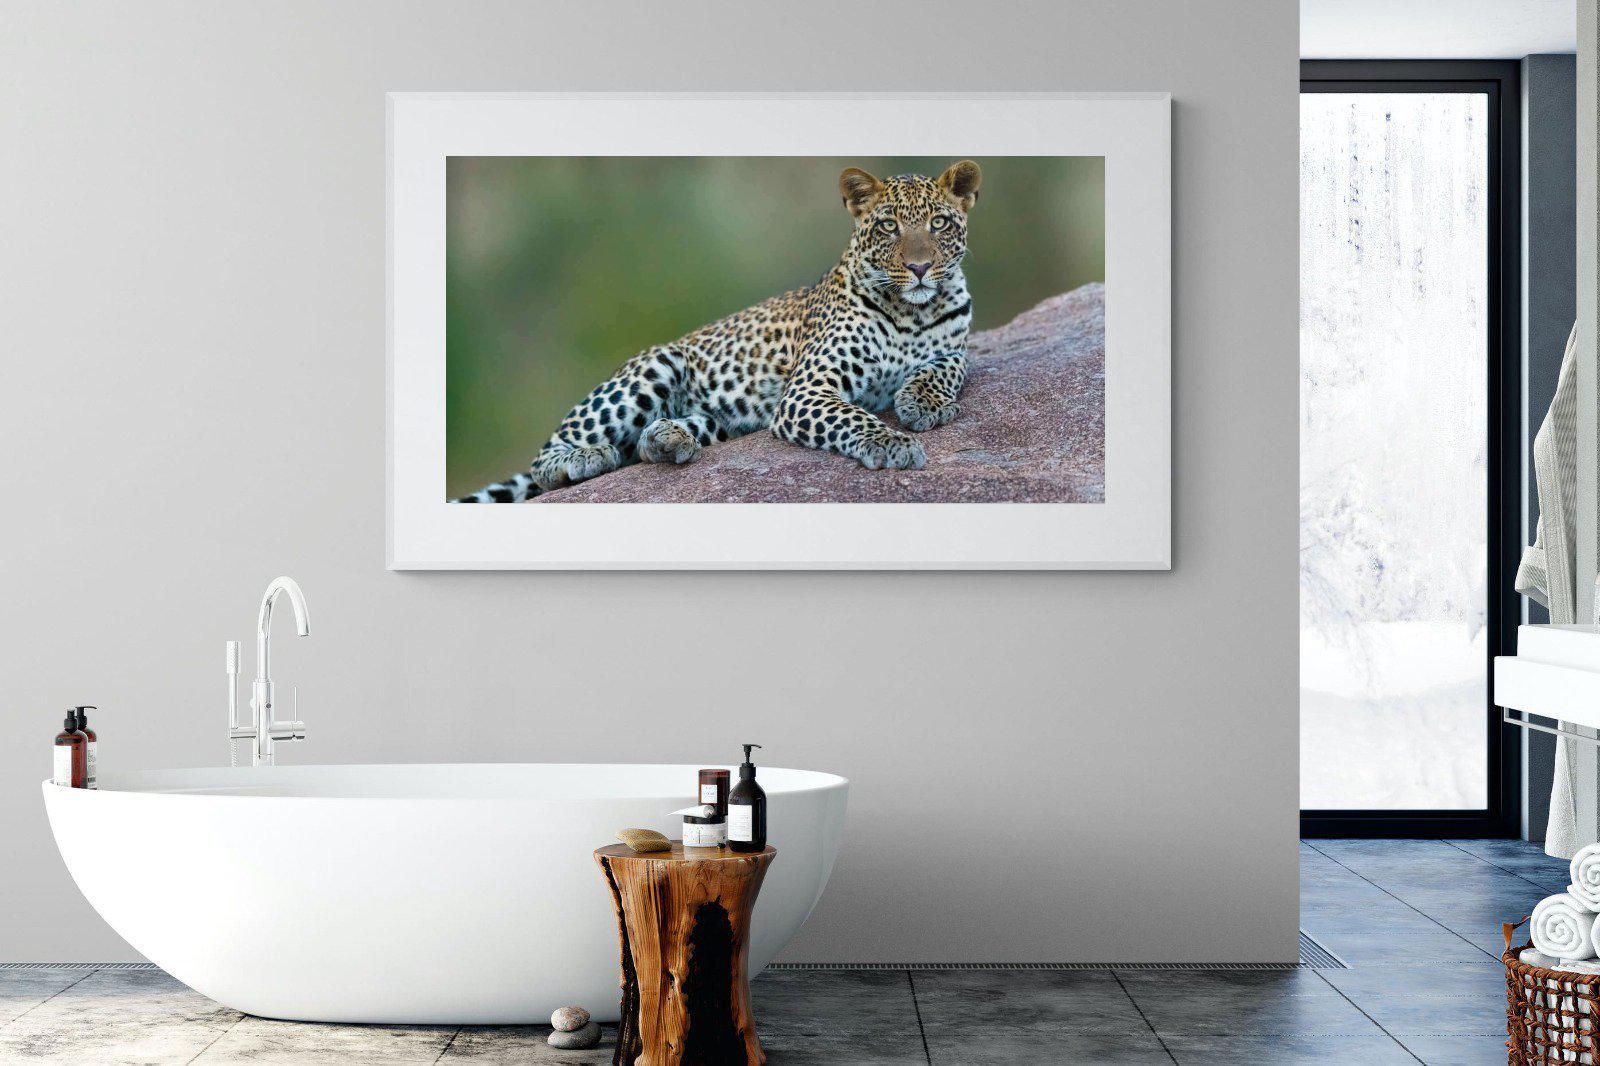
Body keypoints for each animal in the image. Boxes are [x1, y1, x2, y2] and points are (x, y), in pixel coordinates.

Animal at [455, 159, 981, 502]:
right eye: (889, 227)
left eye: (939, 223)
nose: (919, 268)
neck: (912, 314)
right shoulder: (808, 391)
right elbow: (854, 417)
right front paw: (894, 443)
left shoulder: (957, 345)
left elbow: (948, 366)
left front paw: (923, 403)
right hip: (655, 365)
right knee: (549, 457)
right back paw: (584, 459)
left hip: (719, 420)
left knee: (645, 444)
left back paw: (668, 439)